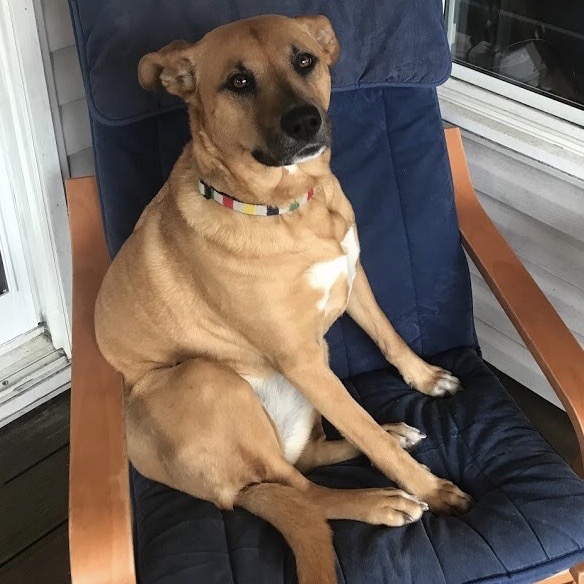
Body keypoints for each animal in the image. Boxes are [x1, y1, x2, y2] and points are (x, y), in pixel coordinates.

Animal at [95, 14, 472, 584]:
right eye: (239, 82)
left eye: (304, 60)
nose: (305, 122)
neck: (285, 205)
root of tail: (229, 497)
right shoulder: (300, 358)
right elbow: (364, 435)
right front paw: (430, 487)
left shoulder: (354, 278)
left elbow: (388, 337)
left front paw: (425, 378)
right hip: (205, 380)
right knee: (303, 491)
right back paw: (379, 500)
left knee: (307, 460)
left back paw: (393, 432)